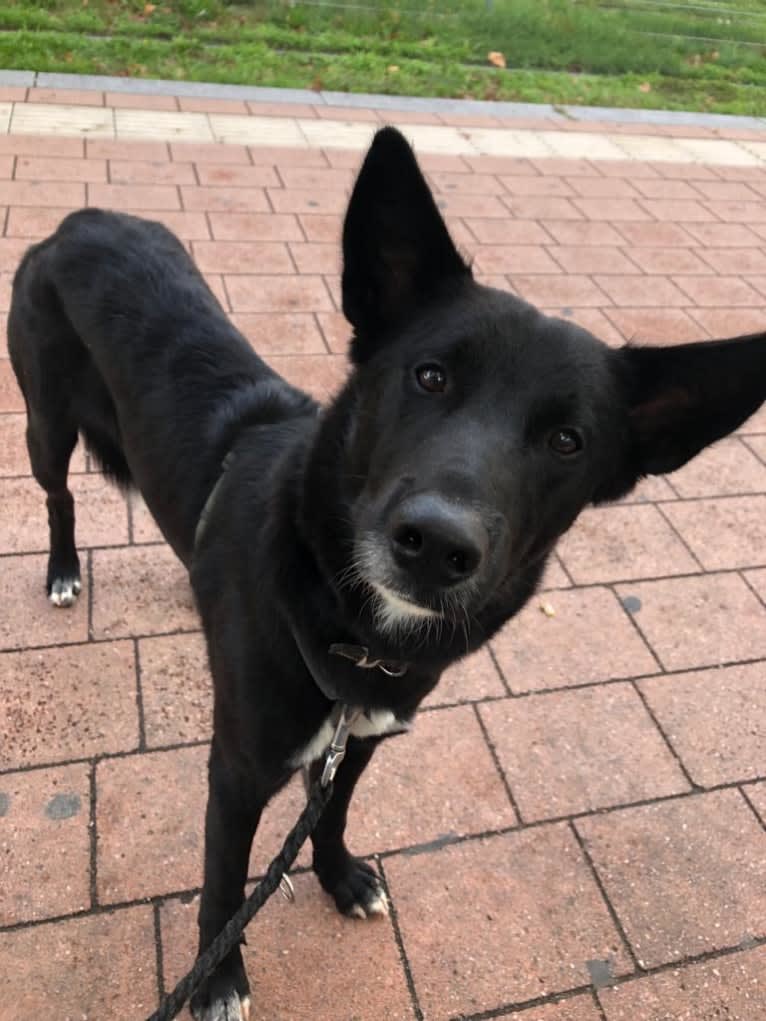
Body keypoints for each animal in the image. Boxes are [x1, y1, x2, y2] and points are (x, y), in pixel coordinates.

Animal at [7, 129, 766, 1021]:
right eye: (429, 376)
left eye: (568, 440)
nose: (436, 544)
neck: (352, 626)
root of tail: (82, 220)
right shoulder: (237, 769)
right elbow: (224, 884)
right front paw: (217, 978)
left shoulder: (362, 735)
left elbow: (329, 814)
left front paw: (337, 878)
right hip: (45, 424)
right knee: (58, 497)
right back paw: (63, 571)